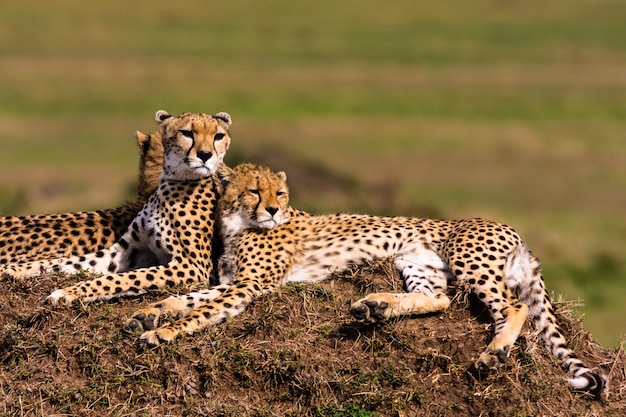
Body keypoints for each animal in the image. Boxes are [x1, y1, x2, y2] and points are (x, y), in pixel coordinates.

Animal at [128, 162, 608, 396]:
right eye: (253, 191)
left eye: (278, 193)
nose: (273, 210)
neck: (236, 223)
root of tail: (513, 231)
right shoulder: (232, 282)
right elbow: (190, 296)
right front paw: (148, 313)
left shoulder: (249, 286)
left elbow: (202, 308)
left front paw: (162, 333)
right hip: (418, 262)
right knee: (439, 300)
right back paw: (375, 305)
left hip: (467, 258)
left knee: (513, 304)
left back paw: (496, 352)